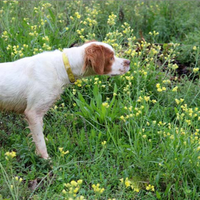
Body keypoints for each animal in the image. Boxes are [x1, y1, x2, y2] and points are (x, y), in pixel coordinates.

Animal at [0, 41, 130, 159]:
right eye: (111, 57)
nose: (128, 62)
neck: (61, 67)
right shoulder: (33, 113)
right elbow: (40, 142)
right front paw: (47, 160)